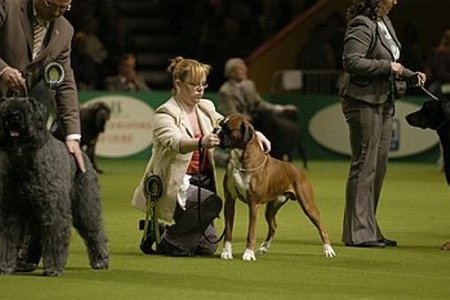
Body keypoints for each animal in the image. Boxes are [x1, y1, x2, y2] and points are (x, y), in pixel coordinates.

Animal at [0, 97, 108, 276]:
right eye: (5, 108)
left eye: (28, 107)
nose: (14, 116)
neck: (25, 160)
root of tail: (81, 154)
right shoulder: (11, 210)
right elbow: (8, 238)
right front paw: (5, 265)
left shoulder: (54, 211)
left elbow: (54, 238)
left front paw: (54, 268)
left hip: (86, 207)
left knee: (95, 231)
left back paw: (100, 260)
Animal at [216, 113, 336, 262]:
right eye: (220, 124)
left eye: (228, 129)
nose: (215, 130)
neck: (240, 159)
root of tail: (298, 170)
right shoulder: (230, 200)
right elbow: (228, 230)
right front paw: (227, 252)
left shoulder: (253, 204)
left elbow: (251, 231)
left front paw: (248, 254)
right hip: (272, 207)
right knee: (273, 226)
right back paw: (264, 247)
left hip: (308, 206)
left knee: (321, 226)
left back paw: (328, 250)